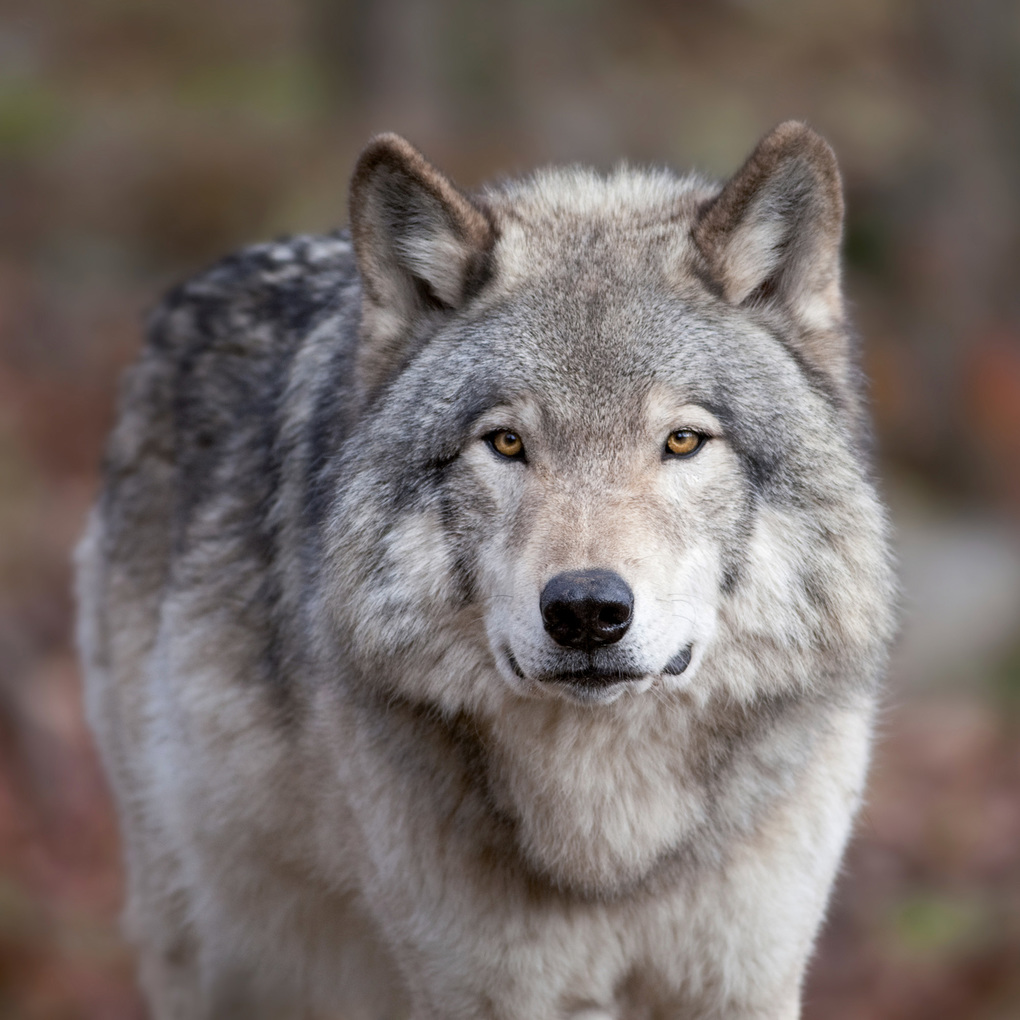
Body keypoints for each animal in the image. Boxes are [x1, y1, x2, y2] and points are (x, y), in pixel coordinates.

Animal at [76, 122, 895, 1019]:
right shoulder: (480, 991)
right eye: (506, 443)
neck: (608, 844)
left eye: (682, 440)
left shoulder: (744, 980)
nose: (585, 610)